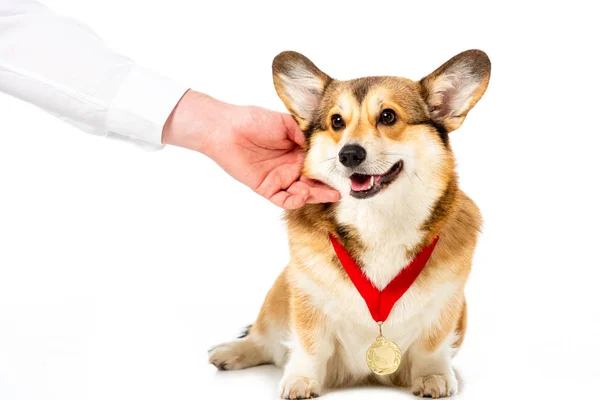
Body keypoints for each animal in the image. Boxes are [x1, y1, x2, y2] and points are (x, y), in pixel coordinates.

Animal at [209, 50, 490, 400]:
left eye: (388, 116)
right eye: (336, 122)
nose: (349, 154)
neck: (377, 218)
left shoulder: (446, 304)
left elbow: (432, 346)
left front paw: (433, 376)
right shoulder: (307, 297)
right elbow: (310, 345)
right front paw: (301, 380)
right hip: (279, 291)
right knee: (263, 339)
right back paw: (230, 352)